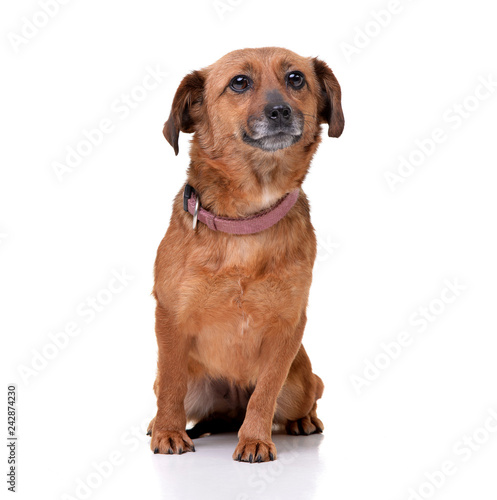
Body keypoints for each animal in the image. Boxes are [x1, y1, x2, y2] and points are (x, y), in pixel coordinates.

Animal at [146, 46, 340, 460]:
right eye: (239, 82)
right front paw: (168, 432)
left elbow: (265, 390)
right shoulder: (169, 317)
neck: (247, 222)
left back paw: (303, 421)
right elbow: (171, 383)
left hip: (301, 383)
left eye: (296, 78)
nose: (280, 110)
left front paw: (254, 438)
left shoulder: (288, 327)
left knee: (310, 392)